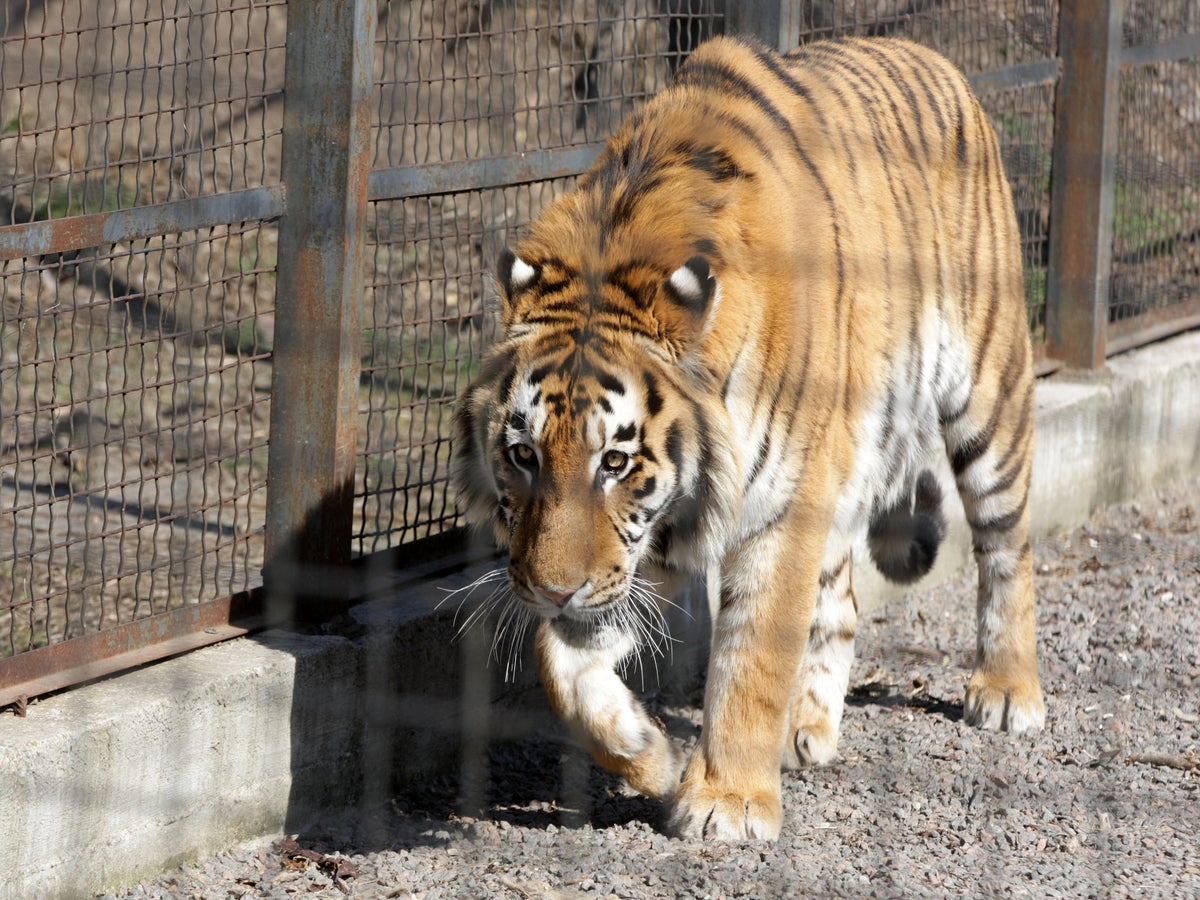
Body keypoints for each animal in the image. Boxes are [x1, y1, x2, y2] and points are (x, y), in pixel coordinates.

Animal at [451, 31, 1041, 844]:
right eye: (522, 455)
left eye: (615, 462)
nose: (551, 590)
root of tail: (930, 53)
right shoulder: (649, 538)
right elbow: (562, 666)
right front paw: (650, 754)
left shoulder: (777, 509)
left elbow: (753, 657)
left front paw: (726, 801)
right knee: (841, 599)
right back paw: (805, 728)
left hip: (987, 390)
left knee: (1006, 544)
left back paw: (1008, 690)